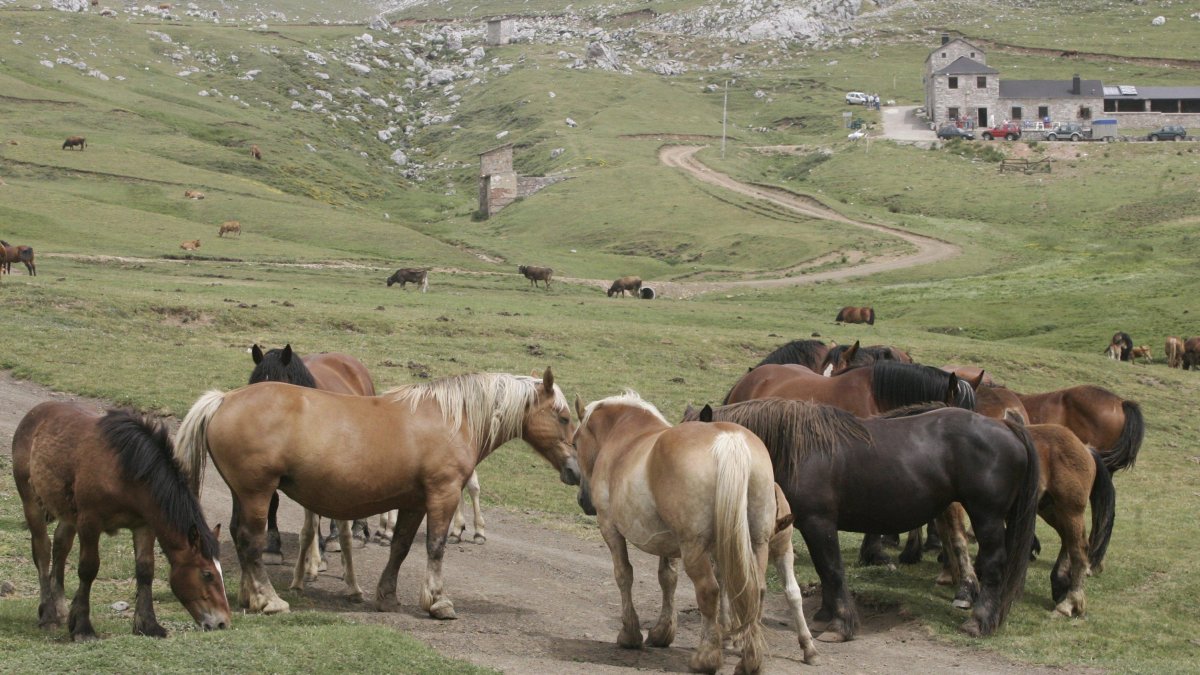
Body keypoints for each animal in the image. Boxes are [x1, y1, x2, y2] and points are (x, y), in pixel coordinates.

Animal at [12, 402, 230, 640]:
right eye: (207, 574)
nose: (223, 622)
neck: (125, 470)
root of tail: (34, 414)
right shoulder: (89, 523)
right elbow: (88, 569)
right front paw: (83, 627)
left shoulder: (144, 525)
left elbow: (145, 570)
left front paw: (148, 624)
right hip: (31, 502)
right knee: (42, 551)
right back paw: (49, 615)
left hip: (67, 512)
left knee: (60, 547)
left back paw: (60, 609)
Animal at [573, 392, 779, 673]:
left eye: (574, 442)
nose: (583, 500)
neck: (625, 435)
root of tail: (727, 440)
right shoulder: (669, 543)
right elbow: (667, 579)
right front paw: (662, 632)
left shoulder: (610, 529)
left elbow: (624, 575)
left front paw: (630, 634)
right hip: (756, 543)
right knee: (755, 591)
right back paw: (750, 660)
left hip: (694, 548)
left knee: (708, 591)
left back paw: (706, 658)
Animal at [686, 399, 1039, 641]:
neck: (798, 451)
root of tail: (1007, 427)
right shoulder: (811, 526)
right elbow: (825, 572)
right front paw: (825, 615)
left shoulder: (819, 523)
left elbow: (832, 570)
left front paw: (841, 625)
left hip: (987, 517)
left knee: (993, 566)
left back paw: (979, 620)